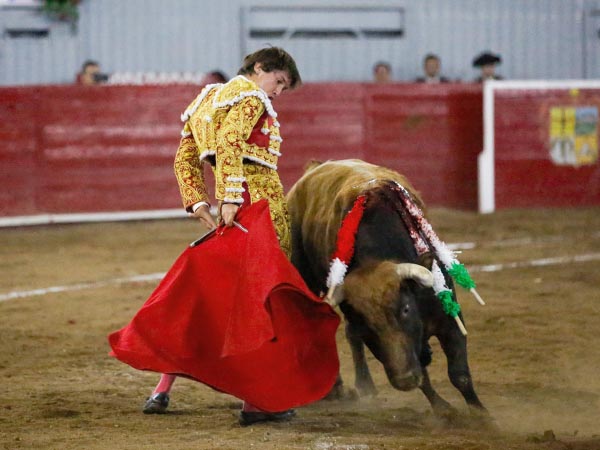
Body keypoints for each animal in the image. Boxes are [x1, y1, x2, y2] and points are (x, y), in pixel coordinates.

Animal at [286, 158, 488, 418]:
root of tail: (314, 168)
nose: (404, 380)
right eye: (368, 324)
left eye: (405, 309)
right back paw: (345, 389)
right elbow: (424, 378)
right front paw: (445, 411)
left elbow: (459, 374)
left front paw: (482, 416)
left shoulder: (449, 318)